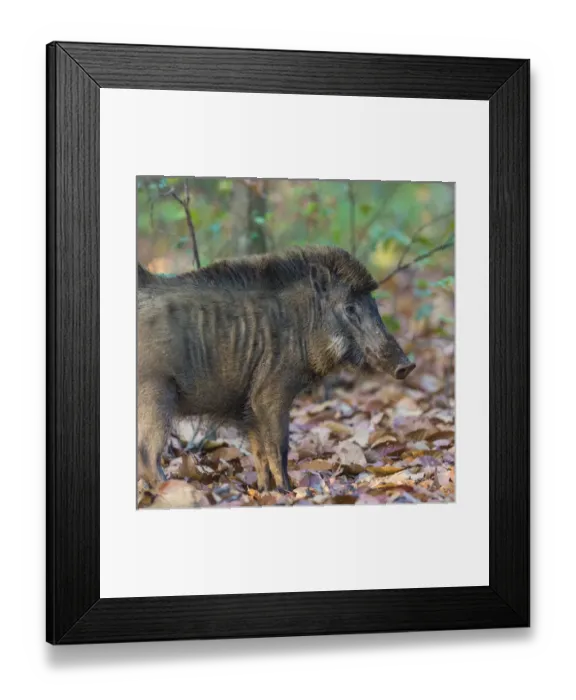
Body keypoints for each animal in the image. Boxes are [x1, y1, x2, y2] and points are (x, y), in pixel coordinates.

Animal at [137, 246, 415, 491]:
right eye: (349, 307)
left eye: (374, 305)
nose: (407, 365)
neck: (304, 325)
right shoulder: (270, 392)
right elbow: (280, 446)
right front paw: (287, 491)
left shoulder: (249, 406)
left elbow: (259, 452)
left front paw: (264, 490)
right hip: (155, 393)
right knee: (147, 454)